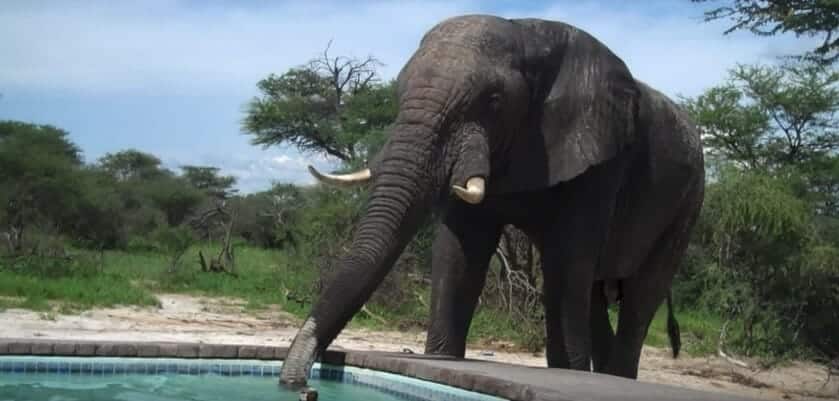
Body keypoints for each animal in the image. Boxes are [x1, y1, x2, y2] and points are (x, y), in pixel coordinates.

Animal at [279, 14, 705, 386]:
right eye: (398, 92)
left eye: (494, 100)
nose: (295, 380)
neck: (529, 34)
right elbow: (459, 252)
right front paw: (442, 358)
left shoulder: (601, 157)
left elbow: (567, 260)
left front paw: (567, 373)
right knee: (597, 298)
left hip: (688, 203)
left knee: (640, 297)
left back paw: (614, 377)